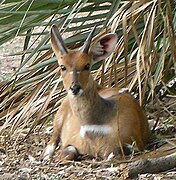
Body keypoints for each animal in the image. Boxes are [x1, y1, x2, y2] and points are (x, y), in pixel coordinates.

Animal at [42, 25, 151, 160]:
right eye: (62, 67)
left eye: (87, 65)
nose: (75, 88)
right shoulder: (70, 142)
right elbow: (68, 152)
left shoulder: (135, 142)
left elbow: (114, 152)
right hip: (58, 117)